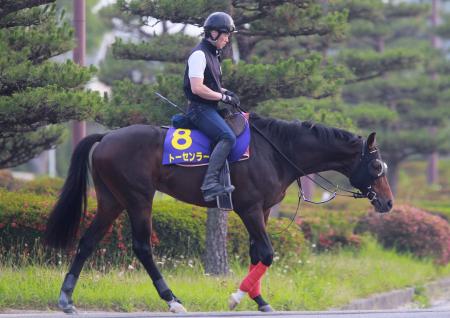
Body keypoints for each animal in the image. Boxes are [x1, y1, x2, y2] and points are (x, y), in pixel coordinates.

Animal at [44, 113, 392, 314]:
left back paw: (66, 298)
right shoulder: (249, 209)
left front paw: (258, 299)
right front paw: (238, 296)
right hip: (138, 198)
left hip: (112, 200)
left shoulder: (263, 210)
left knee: (88, 242)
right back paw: (172, 299)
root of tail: (106, 137)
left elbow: (256, 254)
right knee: (142, 247)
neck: (276, 151)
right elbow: (267, 254)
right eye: (377, 166)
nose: (388, 203)